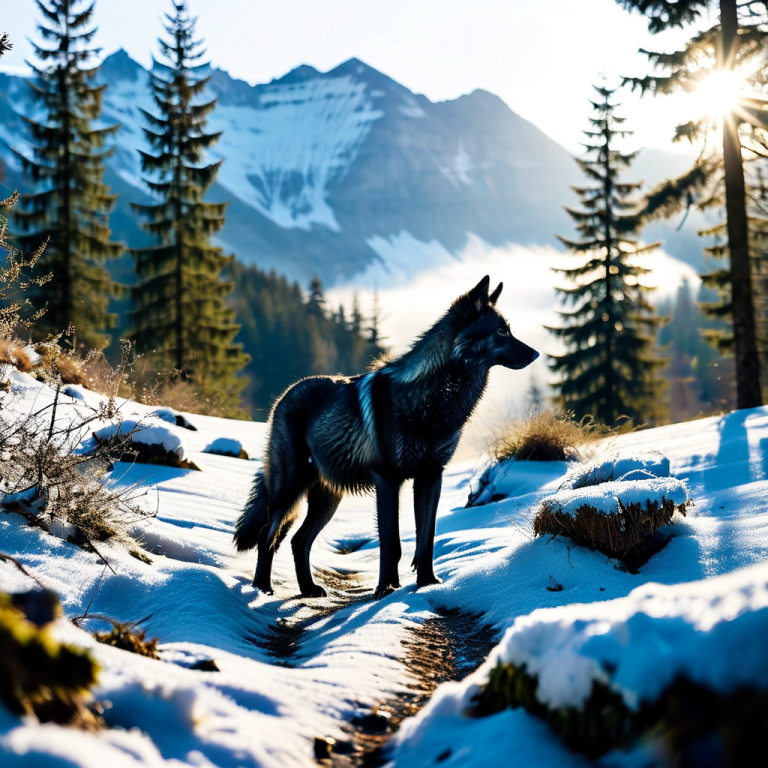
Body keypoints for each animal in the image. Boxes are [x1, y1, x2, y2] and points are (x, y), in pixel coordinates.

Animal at [234, 276, 539, 599]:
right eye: (501, 331)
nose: (536, 354)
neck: (435, 401)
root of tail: (284, 396)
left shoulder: (432, 476)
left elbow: (426, 539)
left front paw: (427, 584)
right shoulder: (388, 480)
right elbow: (391, 542)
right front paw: (385, 590)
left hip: (328, 500)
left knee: (297, 541)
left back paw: (309, 589)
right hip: (289, 492)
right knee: (267, 536)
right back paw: (262, 588)